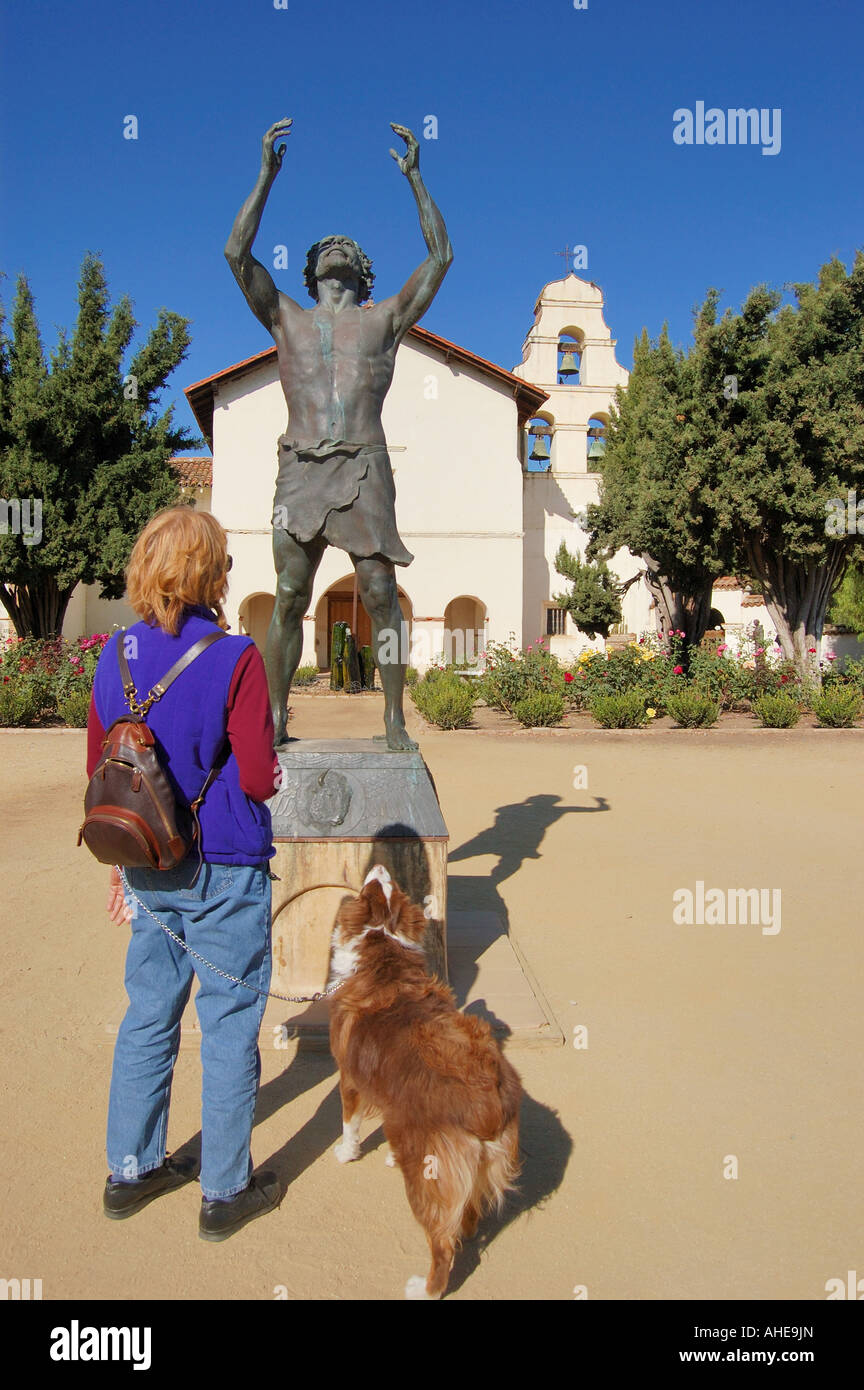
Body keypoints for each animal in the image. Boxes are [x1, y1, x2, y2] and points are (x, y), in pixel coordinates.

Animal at [327, 861, 525, 1295]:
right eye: (388, 886)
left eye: (374, 886)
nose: (380, 864)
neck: (383, 945)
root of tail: (488, 1106)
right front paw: (387, 1154)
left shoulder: (349, 1077)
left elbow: (349, 1124)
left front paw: (346, 1153)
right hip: (477, 1164)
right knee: (466, 1216)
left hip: (429, 1173)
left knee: (441, 1243)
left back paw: (426, 1288)